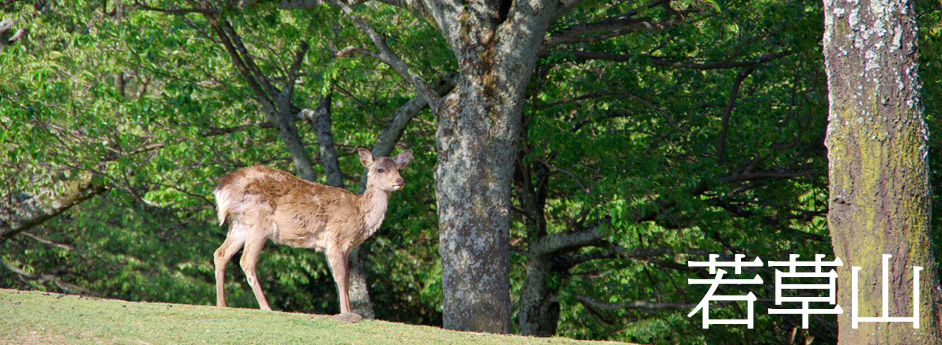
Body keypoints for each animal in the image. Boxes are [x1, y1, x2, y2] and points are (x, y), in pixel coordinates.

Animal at [214, 146, 412, 316]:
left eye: (399, 169)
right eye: (380, 169)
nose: (400, 181)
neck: (359, 214)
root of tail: (222, 188)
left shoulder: (347, 247)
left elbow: (347, 278)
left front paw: (349, 311)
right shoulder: (335, 238)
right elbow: (340, 277)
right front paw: (345, 312)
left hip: (239, 224)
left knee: (220, 254)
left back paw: (222, 303)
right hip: (259, 220)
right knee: (246, 261)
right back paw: (266, 307)